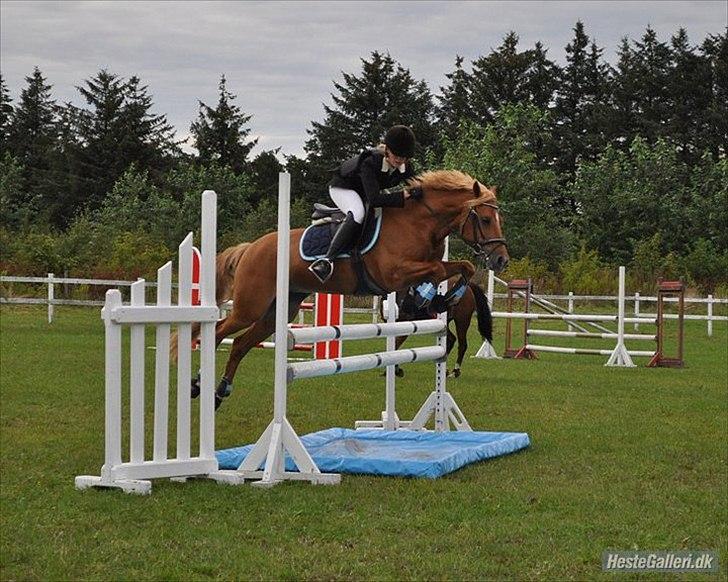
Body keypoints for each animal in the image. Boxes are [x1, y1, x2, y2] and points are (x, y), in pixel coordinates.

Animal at [175, 169, 509, 406]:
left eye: (498, 218)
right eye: (485, 219)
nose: (501, 259)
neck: (420, 222)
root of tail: (252, 247)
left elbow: (462, 268)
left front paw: (443, 299)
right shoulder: (395, 275)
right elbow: (439, 271)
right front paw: (435, 299)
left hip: (277, 312)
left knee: (241, 344)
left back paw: (219, 391)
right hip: (251, 305)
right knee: (220, 331)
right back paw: (198, 384)